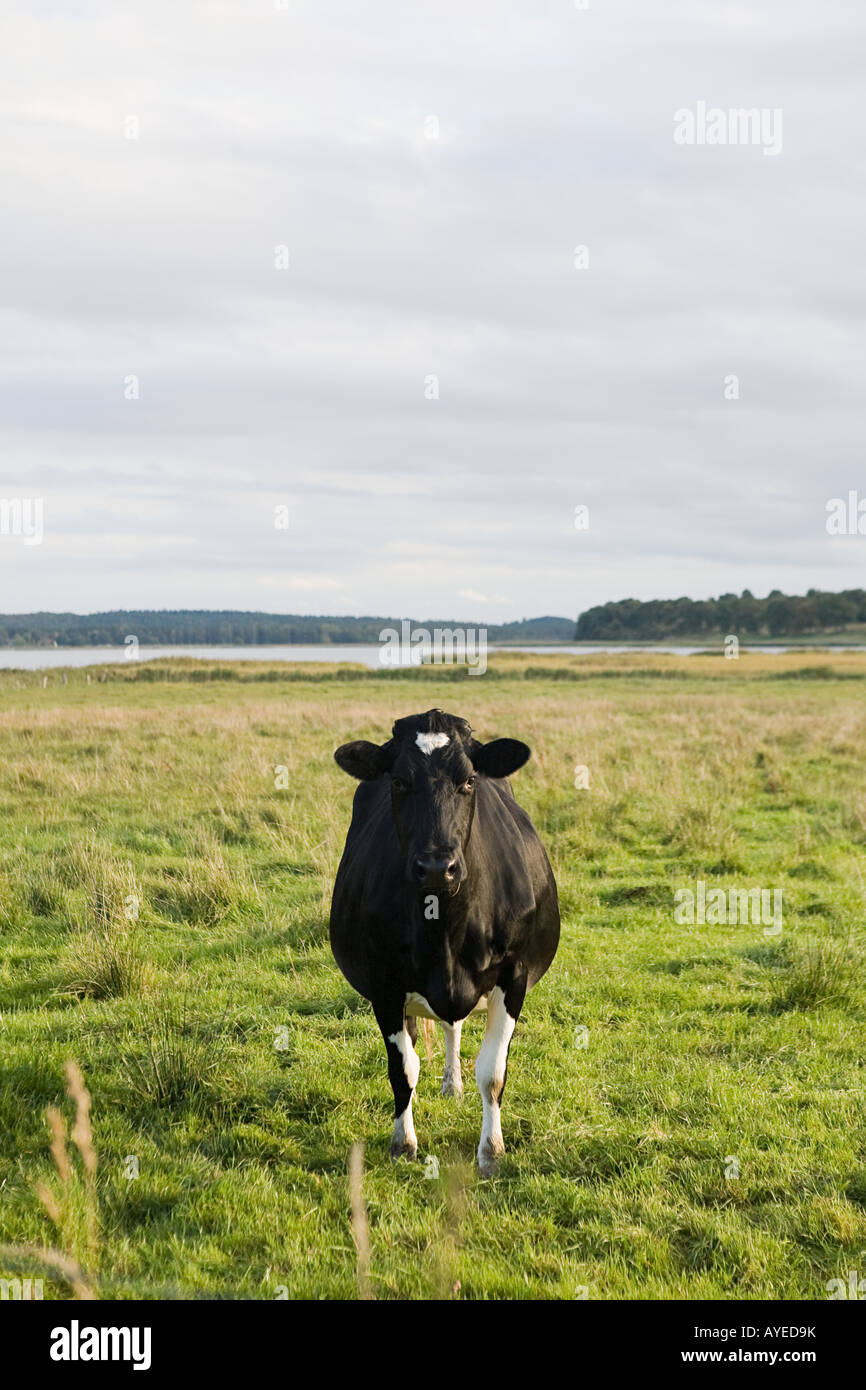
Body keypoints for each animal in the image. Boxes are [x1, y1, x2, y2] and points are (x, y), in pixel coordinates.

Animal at [329, 707, 560, 1175]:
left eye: (469, 780)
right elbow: (403, 1070)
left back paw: (454, 1083)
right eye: (399, 781)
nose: (437, 867)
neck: (445, 932)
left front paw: (491, 1151)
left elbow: (492, 1073)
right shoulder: (384, 985)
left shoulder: (515, 975)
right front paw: (403, 1143)